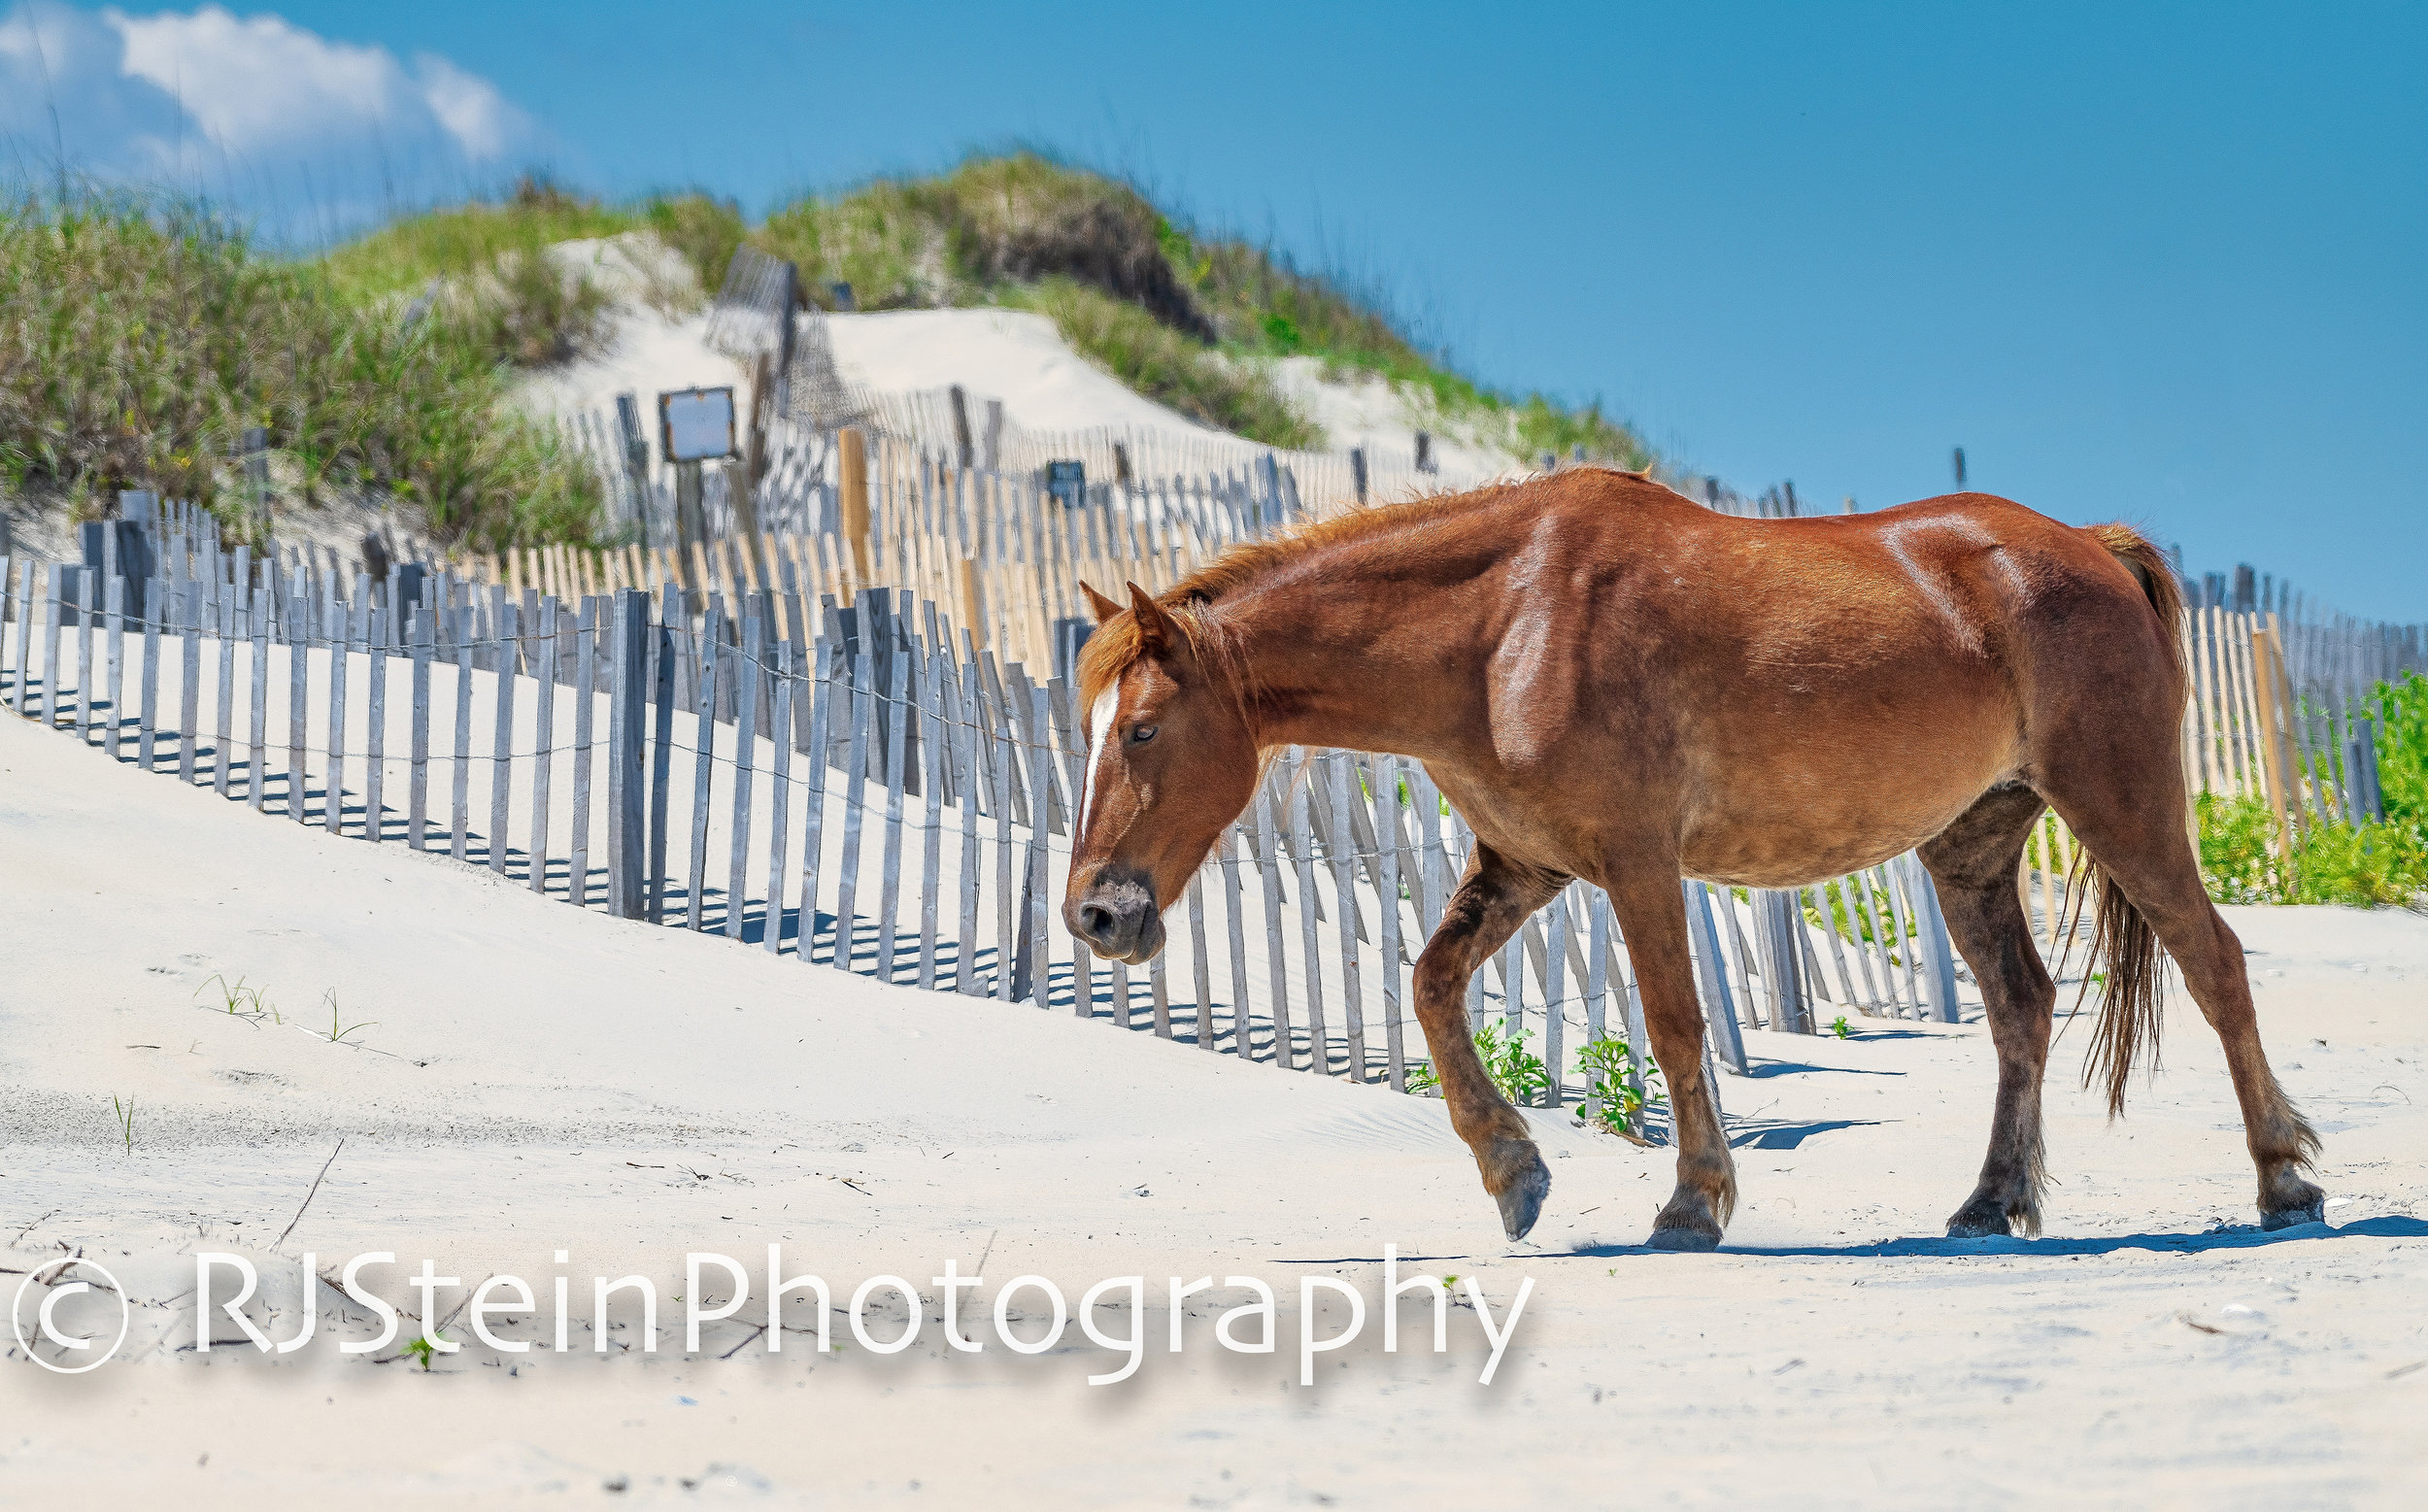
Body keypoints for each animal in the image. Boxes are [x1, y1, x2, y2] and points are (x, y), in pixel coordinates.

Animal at [1063, 475, 2311, 1252]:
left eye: (1143, 731)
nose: (1093, 916)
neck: (1502, 625)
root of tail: (2091, 546)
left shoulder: (1632, 859)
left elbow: (1671, 1024)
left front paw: (1693, 1203)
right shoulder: (1523, 865)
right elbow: (1429, 987)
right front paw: (1512, 1170)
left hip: (2121, 804)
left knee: (2214, 966)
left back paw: (2284, 1180)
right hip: (1970, 847)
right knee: (2021, 1007)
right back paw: (1988, 1202)